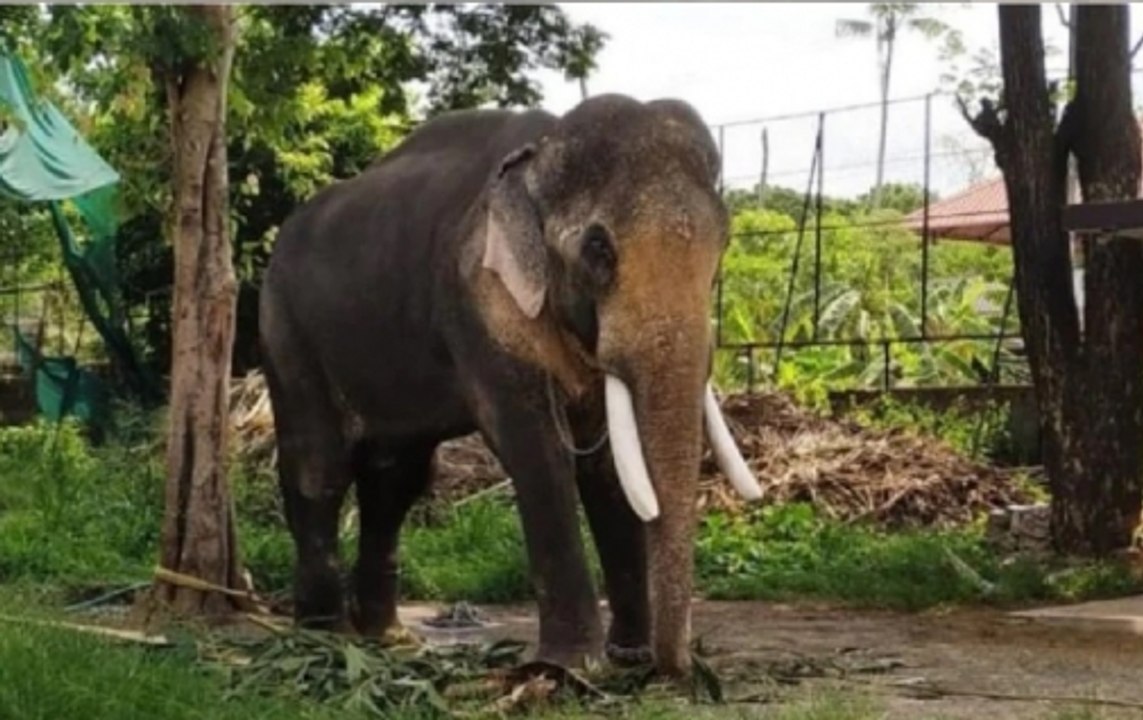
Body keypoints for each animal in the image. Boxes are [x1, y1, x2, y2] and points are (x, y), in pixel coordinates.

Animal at [258, 93, 761, 678]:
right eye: (598, 248)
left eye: (724, 241)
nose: (673, 668)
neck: (540, 154)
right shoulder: (480, 299)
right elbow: (535, 449)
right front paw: (566, 671)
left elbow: (606, 465)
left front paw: (626, 660)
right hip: (286, 330)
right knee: (320, 468)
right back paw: (326, 642)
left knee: (396, 479)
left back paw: (388, 640)